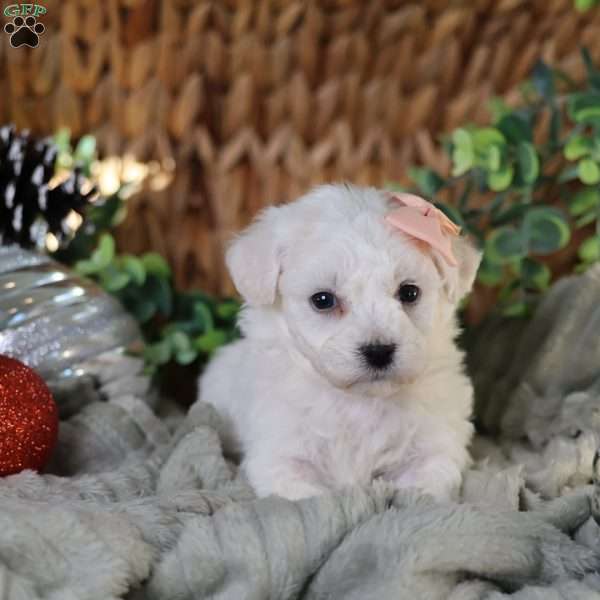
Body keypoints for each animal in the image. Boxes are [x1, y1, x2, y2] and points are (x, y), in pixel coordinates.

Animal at [199, 183, 480, 502]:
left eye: (409, 292)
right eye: (323, 300)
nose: (379, 352)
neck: (358, 402)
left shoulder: (436, 448)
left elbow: (424, 487)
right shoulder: (280, 457)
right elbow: (308, 497)